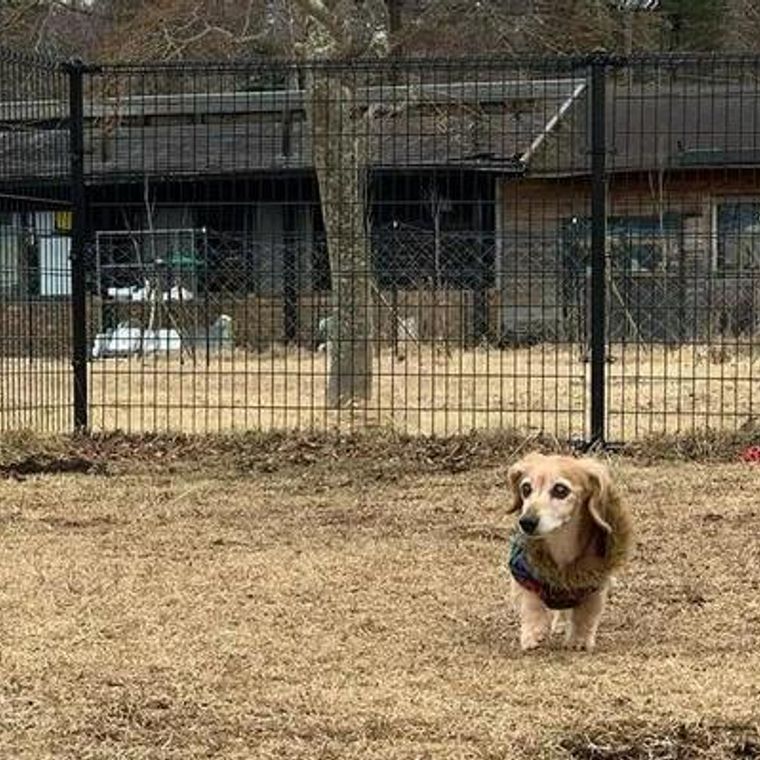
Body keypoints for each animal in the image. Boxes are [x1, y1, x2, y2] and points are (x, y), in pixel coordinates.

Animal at [504, 452, 636, 652]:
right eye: (526, 488)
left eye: (560, 490)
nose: (526, 522)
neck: (561, 542)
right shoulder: (522, 572)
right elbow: (531, 604)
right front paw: (533, 634)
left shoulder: (594, 582)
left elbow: (586, 613)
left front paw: (579, 640)